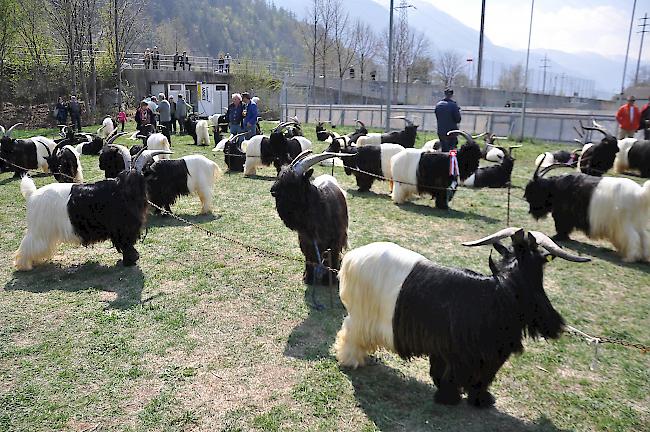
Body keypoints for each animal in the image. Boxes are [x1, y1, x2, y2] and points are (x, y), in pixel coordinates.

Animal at [13, 148, 151, 270]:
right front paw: (130, 261)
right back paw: (24, 265)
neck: (121, 189)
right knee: (28, 244)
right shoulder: (123, 229)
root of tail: (32, 195)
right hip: (40, 230)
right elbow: (126, 245)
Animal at [334, 230, 588, 408]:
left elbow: (447, 372)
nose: (556, 325)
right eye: (539, 267)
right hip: (362, 315)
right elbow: (473, 378)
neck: (502, 292)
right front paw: (461, 400)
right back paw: (351, 360)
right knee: (349, 333)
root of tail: (352, 258)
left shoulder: (447, 349)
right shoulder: (477, 354)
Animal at [520, 160, 648, 262]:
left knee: (633, 237)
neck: (554, 187)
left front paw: (558, 237)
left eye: (533, 191)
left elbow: (562, 226)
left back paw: (629, 258)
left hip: (624, 224)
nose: (530, 212)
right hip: (637, 222)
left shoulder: (562, 214)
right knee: (644, 237)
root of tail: (639, 193)